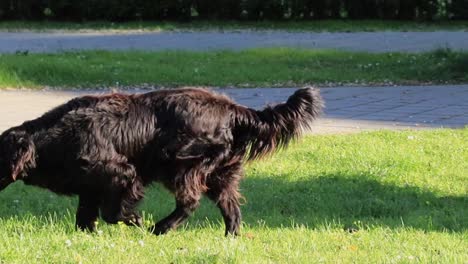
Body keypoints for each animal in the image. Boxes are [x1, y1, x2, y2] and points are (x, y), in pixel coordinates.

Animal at [0, 87, 322, 236]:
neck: (53, 137)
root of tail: (233, 110)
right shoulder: (90, 188)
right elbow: (85, 219)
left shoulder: (123, 173)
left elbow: (113, 212)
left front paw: (136, 220)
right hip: (219, 174)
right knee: (231, 208)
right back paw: (230, 238)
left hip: (181, 165)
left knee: (189, 202)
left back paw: (161, 228)